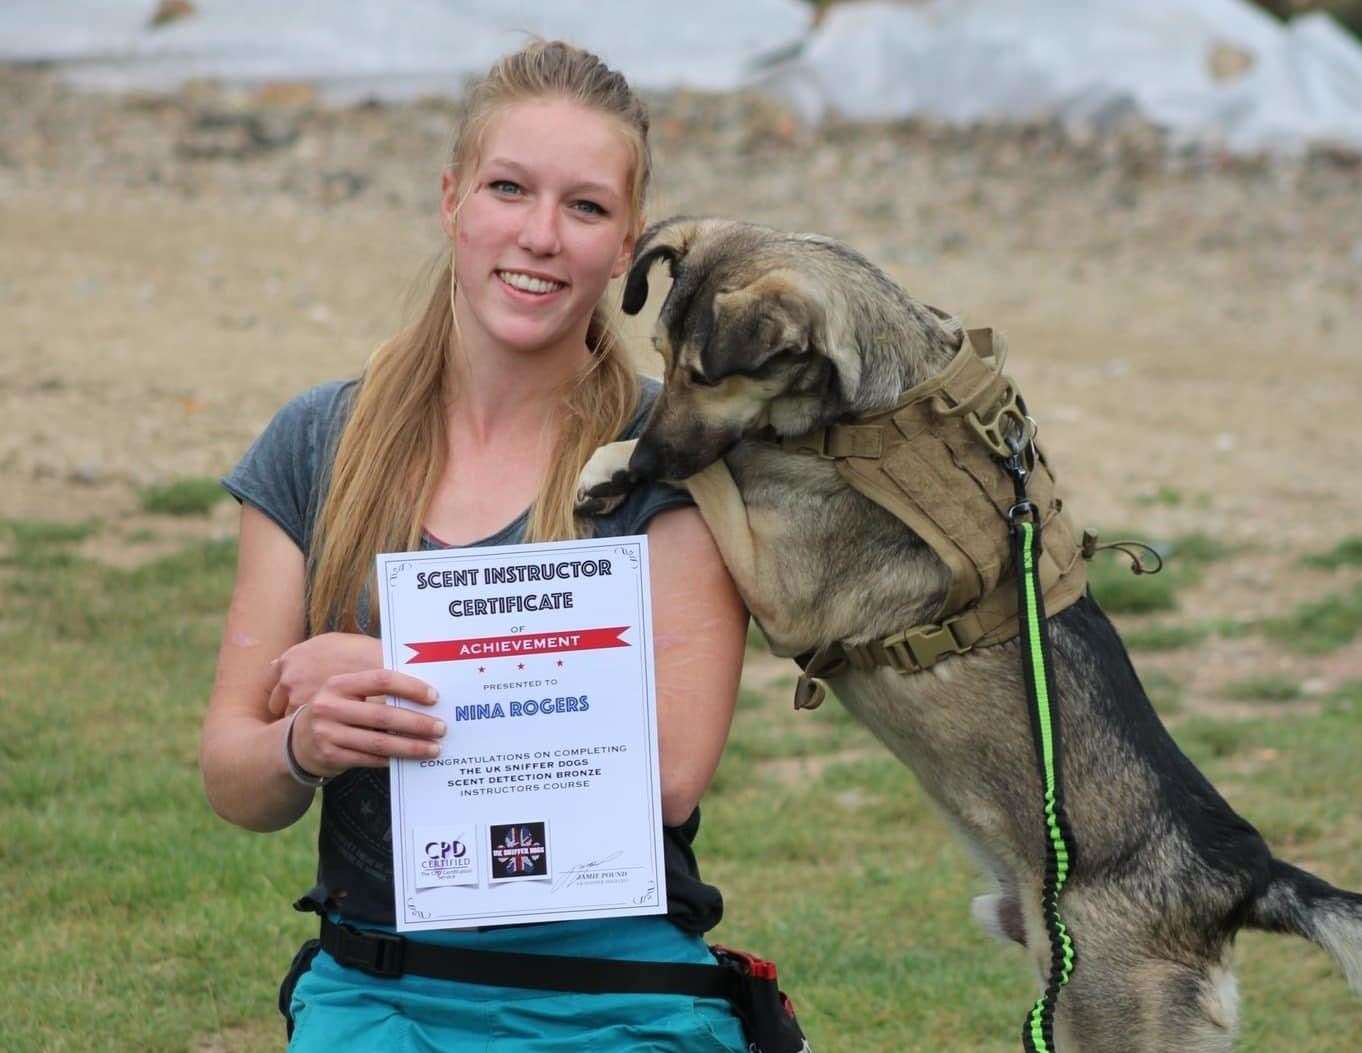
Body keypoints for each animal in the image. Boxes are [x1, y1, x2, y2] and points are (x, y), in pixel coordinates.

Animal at [577, 215, 1362, 1051]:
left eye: (707, 376)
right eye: (663, 358)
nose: (650, 455)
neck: (865, 413)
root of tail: (1244, 870)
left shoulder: (780, 590)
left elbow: (720, 471)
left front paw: (622, 466)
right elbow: (729, 459)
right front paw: (614, 463)